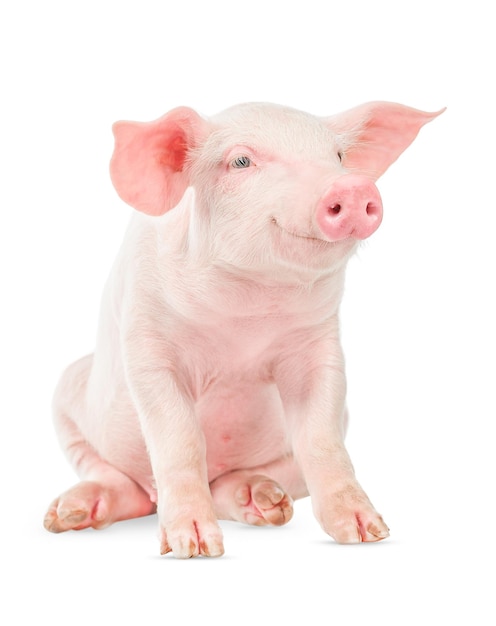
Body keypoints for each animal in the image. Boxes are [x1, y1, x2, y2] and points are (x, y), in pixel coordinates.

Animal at [44, 101, 444, 556]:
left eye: (339, 156)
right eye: (240, 161)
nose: (353, 188)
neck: (245, 316)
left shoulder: (319, 347)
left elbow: (321, 438)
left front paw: (369, 533)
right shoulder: (146, 338)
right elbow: (179, 436)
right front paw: (194, 548)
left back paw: (266, 502)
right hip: (68, 389)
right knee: (116, 478)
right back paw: (67, 515)